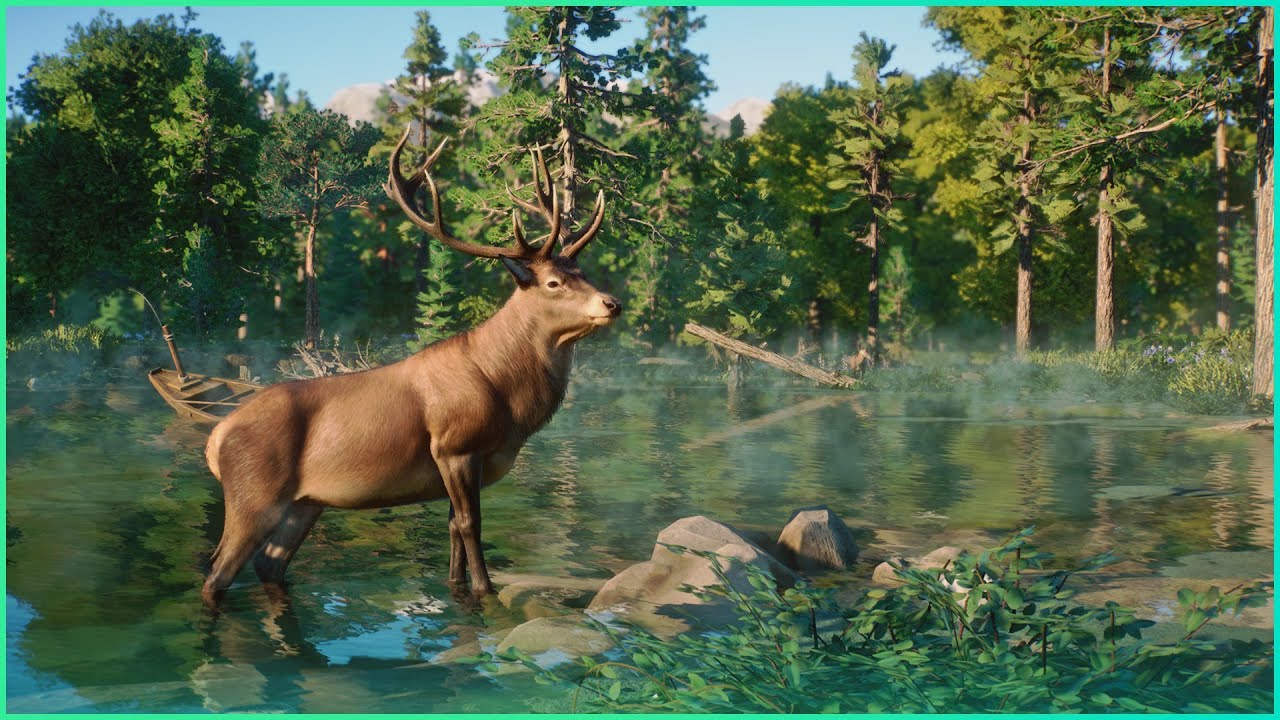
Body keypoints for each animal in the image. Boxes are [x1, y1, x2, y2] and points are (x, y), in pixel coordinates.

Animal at [200, 127, 620, 608]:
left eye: (582, 272)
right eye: (553, 282)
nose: (612, 303)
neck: (508, 400)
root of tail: (215, 439)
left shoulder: (457, 463)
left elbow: (453, 528)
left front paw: (458, 589)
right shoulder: (455, 445)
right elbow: (471, 526)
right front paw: (485, 591)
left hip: (303, 504)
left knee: (268, 564)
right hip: (253, 495)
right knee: (216, 571)